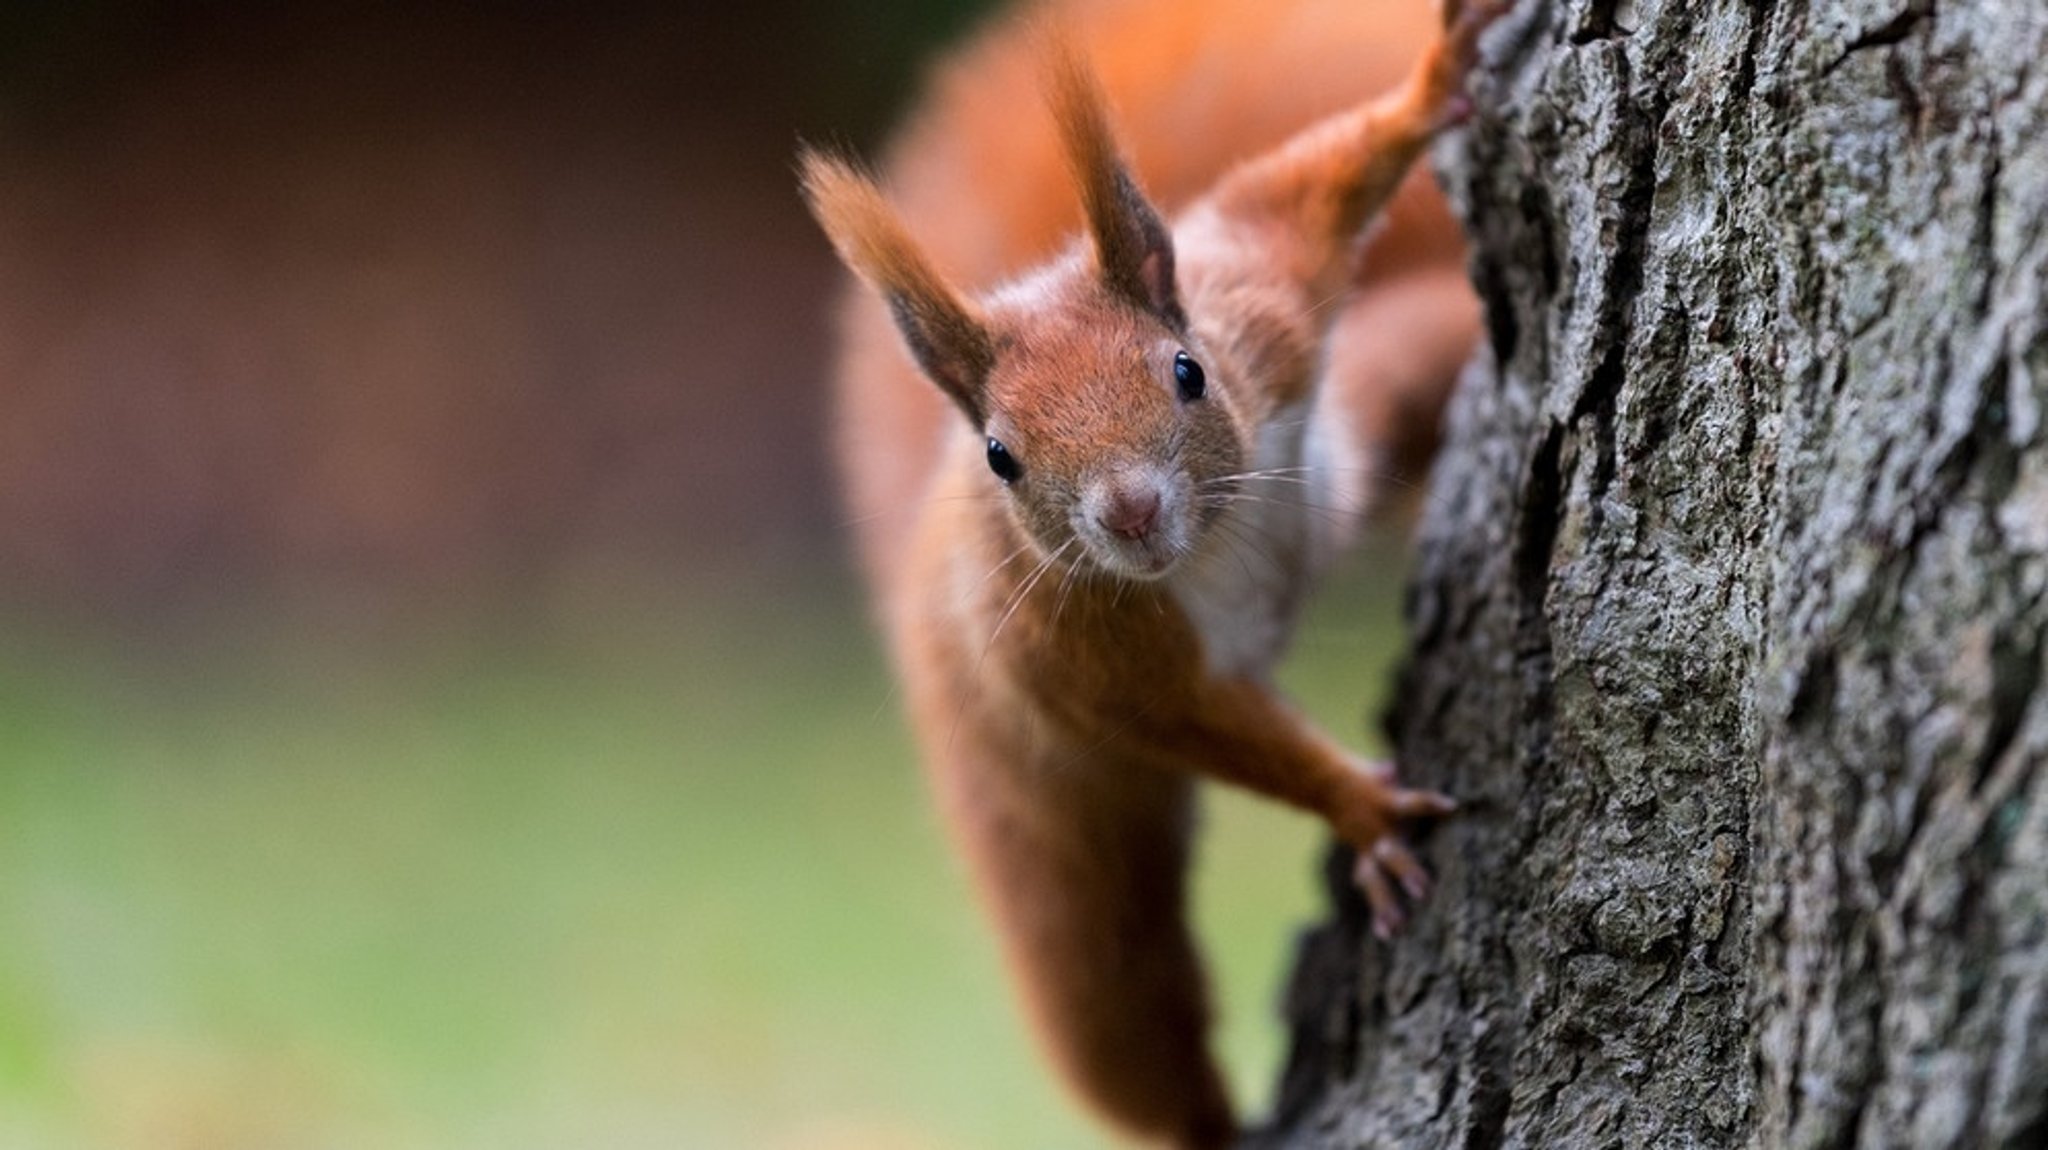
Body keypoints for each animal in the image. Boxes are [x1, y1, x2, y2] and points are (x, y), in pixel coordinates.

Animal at [798, 0, 1507, 1137]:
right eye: (1002, 456)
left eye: (1187, 370)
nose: (1129, 511)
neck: (1206, 548)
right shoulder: (1077, 654)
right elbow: (1208, 724)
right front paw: (1359, 807)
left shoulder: (1266, 298)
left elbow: (1302, 188)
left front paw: (1430, 83)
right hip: (1048, 853)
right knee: (1125, 1011)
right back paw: (1210, 1125)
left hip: (1359, 385)